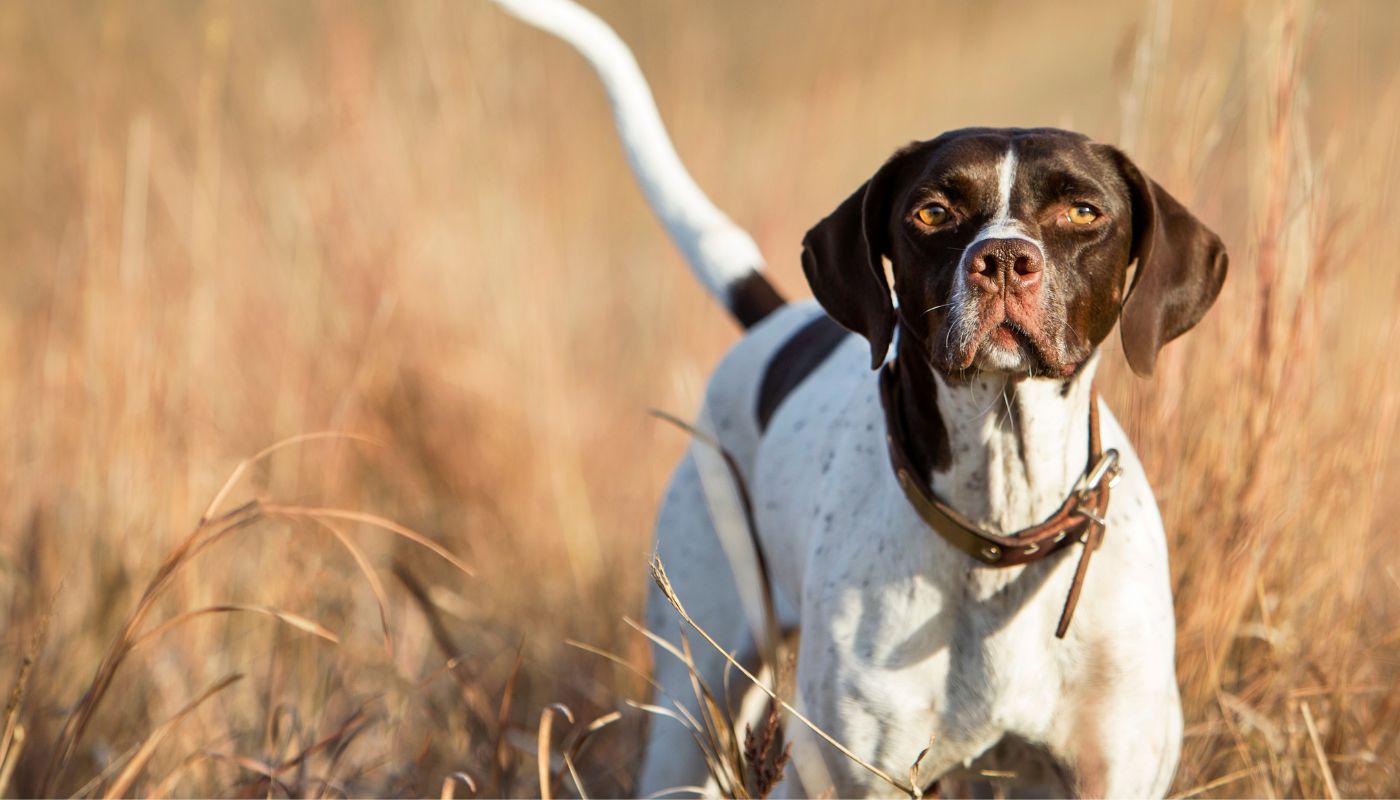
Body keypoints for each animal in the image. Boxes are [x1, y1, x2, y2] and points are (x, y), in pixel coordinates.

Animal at [492, 0, 1226, 795]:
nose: (1003, 259)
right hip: (696, 699)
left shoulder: (1114, 768)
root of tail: (775, 321)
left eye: (1084, 212)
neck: (1000, 523)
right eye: (932, 212)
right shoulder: (850, 771)